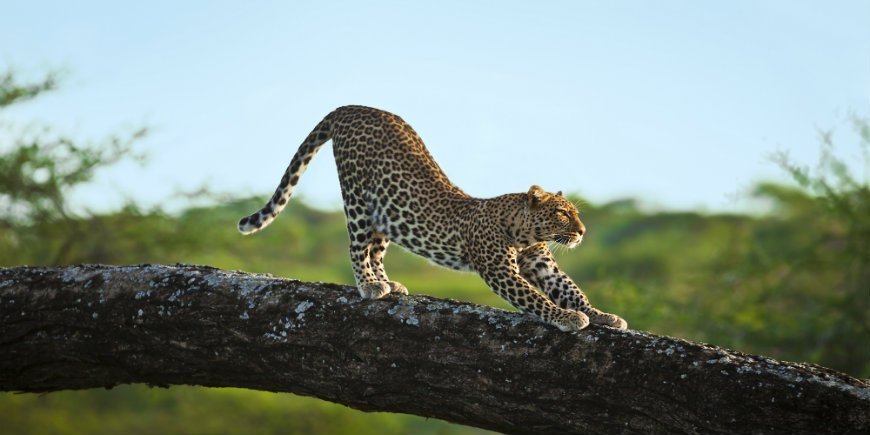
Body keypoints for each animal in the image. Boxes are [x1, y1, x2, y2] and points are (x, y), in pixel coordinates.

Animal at [238, 104, 628, 330]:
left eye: (575, 214)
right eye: (562, 214)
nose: (582, 231)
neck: (526, 234)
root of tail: (352, 106)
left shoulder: (544, 265)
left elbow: (570, 289)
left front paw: (600, 314)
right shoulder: (500, 270)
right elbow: (535, 298)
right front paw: (567, 318)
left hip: (386, 208)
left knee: (375, 248)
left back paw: (388, 283)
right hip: (357, 197)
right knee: (357, 245)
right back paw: (369, 285)